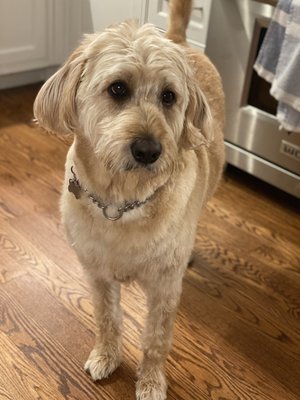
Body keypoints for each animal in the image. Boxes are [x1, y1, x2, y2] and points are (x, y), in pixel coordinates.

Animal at [34, 1, 224, 398]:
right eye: (118, 88)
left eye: (169, 96)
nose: (149, 150)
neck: (120, 201)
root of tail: (180, 40)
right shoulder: (97, 276)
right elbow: (106, 318)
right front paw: (106, 355)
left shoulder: (164, 290)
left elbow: (155, 340)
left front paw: (150, 381)